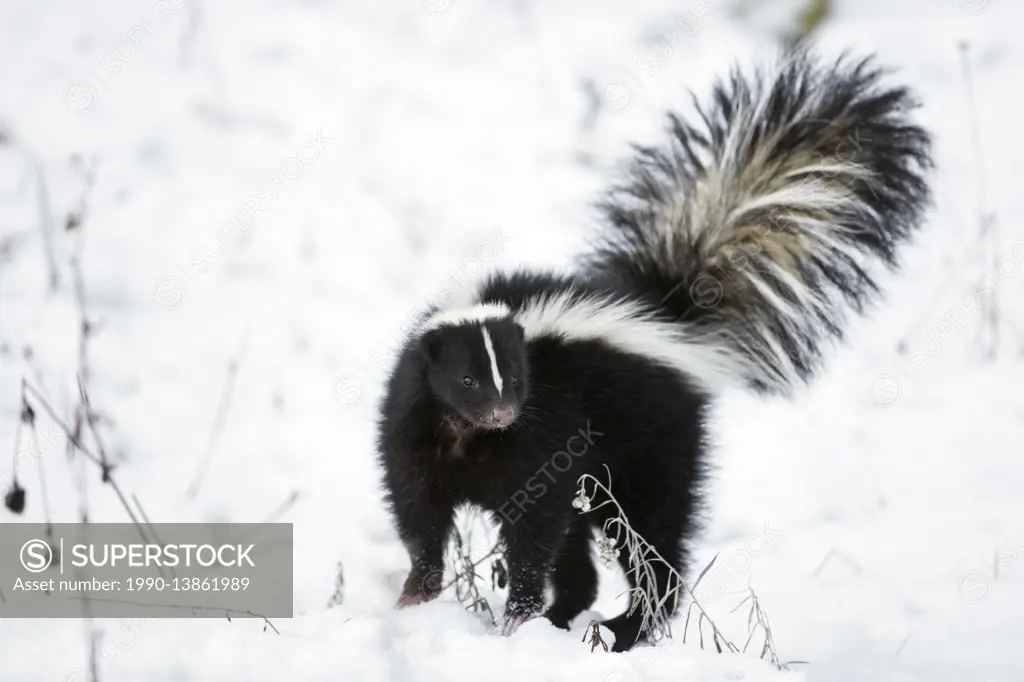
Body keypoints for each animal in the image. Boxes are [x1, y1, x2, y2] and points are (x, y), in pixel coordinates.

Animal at [380, 51, 933, 647]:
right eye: (466, 380)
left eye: (517, 377)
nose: (503, 413)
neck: (469, 436)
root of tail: (669, 315)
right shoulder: (416, 432)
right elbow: (420, 514)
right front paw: (417, 595)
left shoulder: (540, 441)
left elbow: (532, 529)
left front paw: (517, 616)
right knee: (586, 553)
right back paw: (568, 617)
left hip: (651, 450)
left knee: (655, 540)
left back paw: (627, 627)